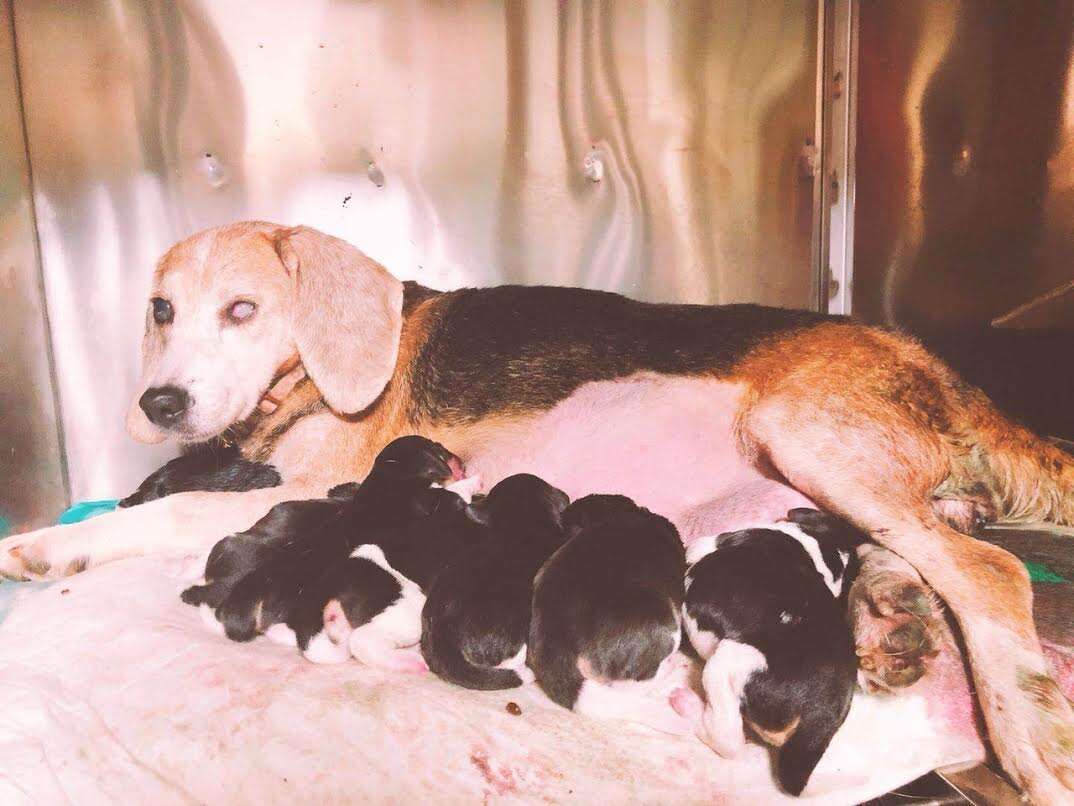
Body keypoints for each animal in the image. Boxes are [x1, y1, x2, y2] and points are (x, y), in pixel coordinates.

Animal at [674, 507, 867, 799]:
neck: (822, 551)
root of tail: (820, 715)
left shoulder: (706, 545)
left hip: (726, 664)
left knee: (730, 741)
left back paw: (687, 706)